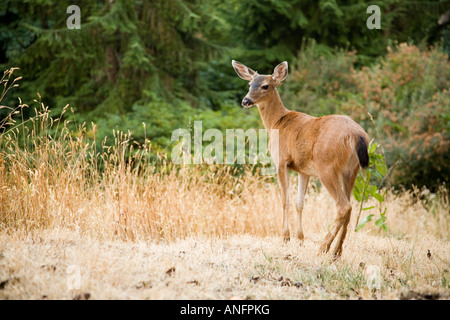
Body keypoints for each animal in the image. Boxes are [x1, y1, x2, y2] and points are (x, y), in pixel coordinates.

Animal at [232, 60, 370, 258]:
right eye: (250, 84)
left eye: (265, 86)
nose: (246, 101)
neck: (276, 123)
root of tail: (357, 135)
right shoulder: (304, 170)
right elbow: (299, 203)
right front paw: (300, 238)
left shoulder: (281, 161)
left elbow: (285, 199)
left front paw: (285, 237)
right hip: (351, 170)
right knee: (350, 207)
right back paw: (337, 251)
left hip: (326, 166)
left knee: (343, 206)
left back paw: (323, 247)